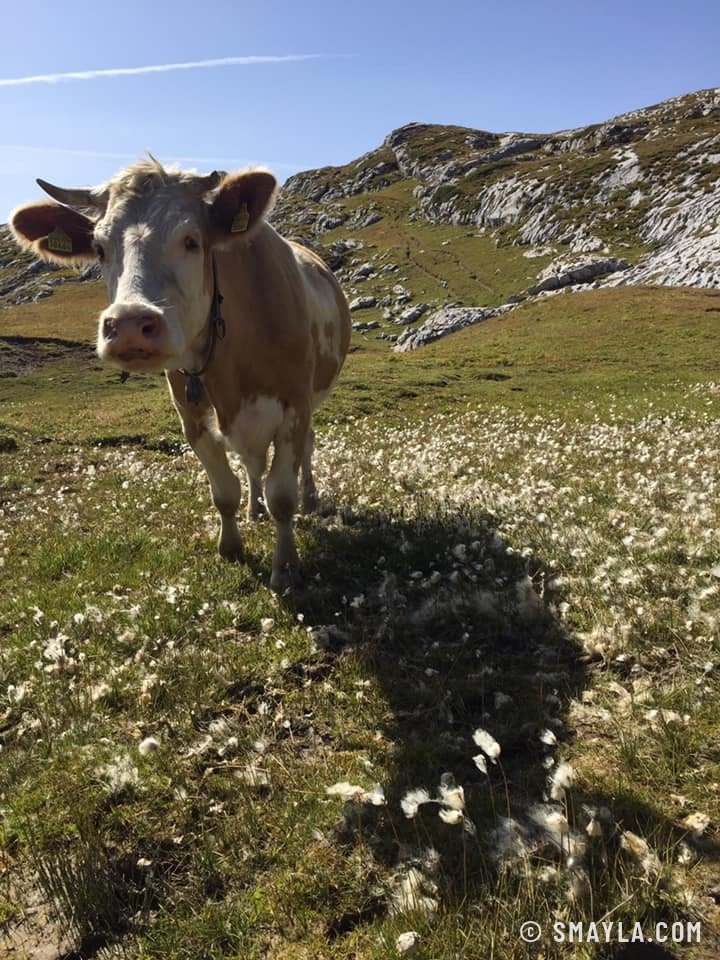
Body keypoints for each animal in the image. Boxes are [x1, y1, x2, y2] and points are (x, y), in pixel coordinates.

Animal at [10, 159, 351, 591]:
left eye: (191, 240)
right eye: (100, 248)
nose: (129, 325)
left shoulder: (295, 406)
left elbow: (283, 497)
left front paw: (286, 567)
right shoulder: (192, 418)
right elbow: (225, 491)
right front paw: (231, 546)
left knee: (305, 449)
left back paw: (310, 498)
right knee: (253, 464)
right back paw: (254, 508)